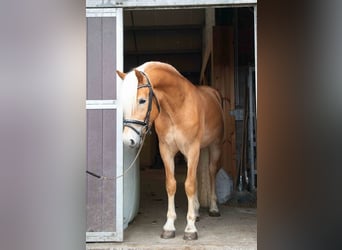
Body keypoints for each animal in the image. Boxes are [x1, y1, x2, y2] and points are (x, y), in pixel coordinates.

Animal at [117, 61, 224, 240]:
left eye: (142, 100)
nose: (128, 140)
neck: (177, 108)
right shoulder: (166, 151)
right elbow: (171, 184)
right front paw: (169, 226)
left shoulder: (192, 149)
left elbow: (189, 185)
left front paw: (190, 229)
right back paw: (196, 212)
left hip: (214, 146)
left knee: (211, 172)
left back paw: (213, 208)